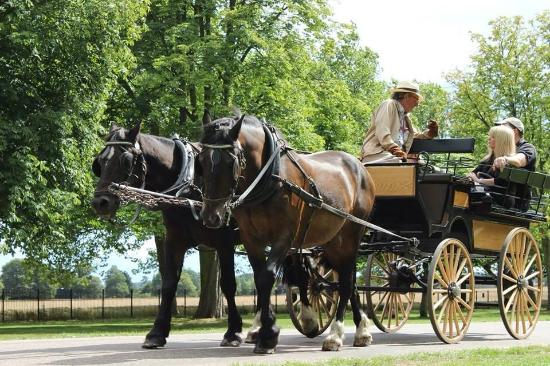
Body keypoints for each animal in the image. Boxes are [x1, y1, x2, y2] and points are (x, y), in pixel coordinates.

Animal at [91, 121, 243, 348]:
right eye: (100, 161)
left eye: (125, 160)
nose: (100, 203)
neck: (190, 185)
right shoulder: (174, 241)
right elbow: (169, 283)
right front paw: (157, 332)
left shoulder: (225, 242)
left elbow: (228, 284)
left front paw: (233, 331)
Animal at [197, 116, 376, 354]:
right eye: (201, 161)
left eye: (230, 162)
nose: (211, 217)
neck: (268, 179)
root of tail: (359, 166)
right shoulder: (250, 238)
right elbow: (260, 279)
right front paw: (266, 329)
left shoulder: (284, 236)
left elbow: (267, 276)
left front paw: (268, 336)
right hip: (332, 241)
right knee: (348, 280)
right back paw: (361, 330)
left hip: (352, 234)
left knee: (346, 283)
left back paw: (336, 335)